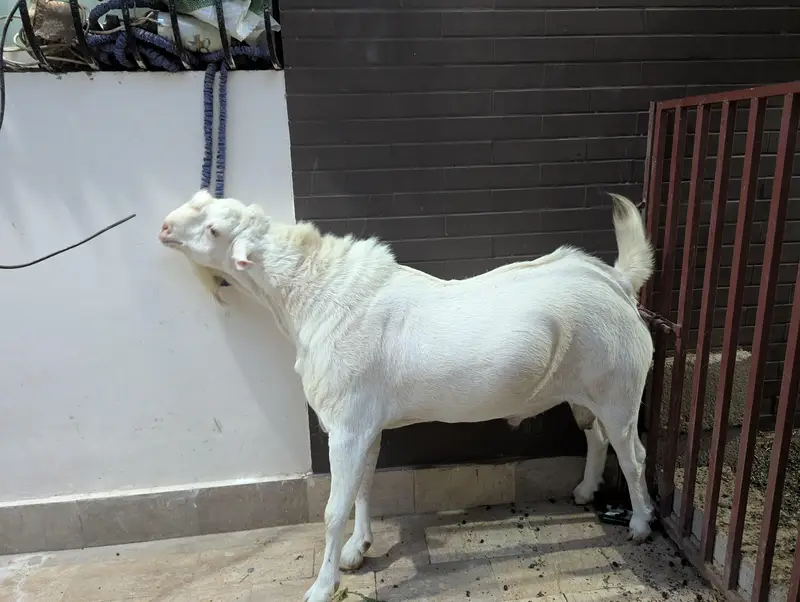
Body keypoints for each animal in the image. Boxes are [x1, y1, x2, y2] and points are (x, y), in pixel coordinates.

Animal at [159, 191, 655, 602]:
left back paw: (640, 522)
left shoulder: (346, 425)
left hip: (620, 389)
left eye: (214, 230)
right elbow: (363, 485)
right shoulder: (365, 423)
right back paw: (587, 490)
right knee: (596, 437)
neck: (313, 293)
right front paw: (358, 549)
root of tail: (616, 281)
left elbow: (334, 507)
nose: (165, 227)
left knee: (634, 454)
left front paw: (322, 587)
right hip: (586, 391)